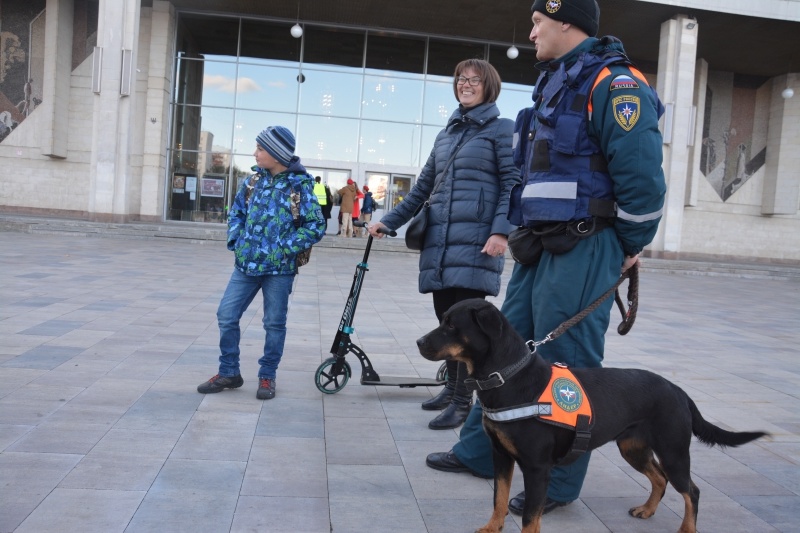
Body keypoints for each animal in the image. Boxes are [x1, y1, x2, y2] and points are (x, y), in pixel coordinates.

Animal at [416, 300, 764, 532]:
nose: (419, 342)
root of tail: (679, 391)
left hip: (674, 451)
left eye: (452, 325)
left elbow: (530, 515)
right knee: (660, 478)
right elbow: (498, 499)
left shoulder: (537, 467)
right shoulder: (500, 455)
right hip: (633, 447)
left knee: (691, 490)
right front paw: (491, 527)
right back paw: (647, 510)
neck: (508, 377)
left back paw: (687, 528)